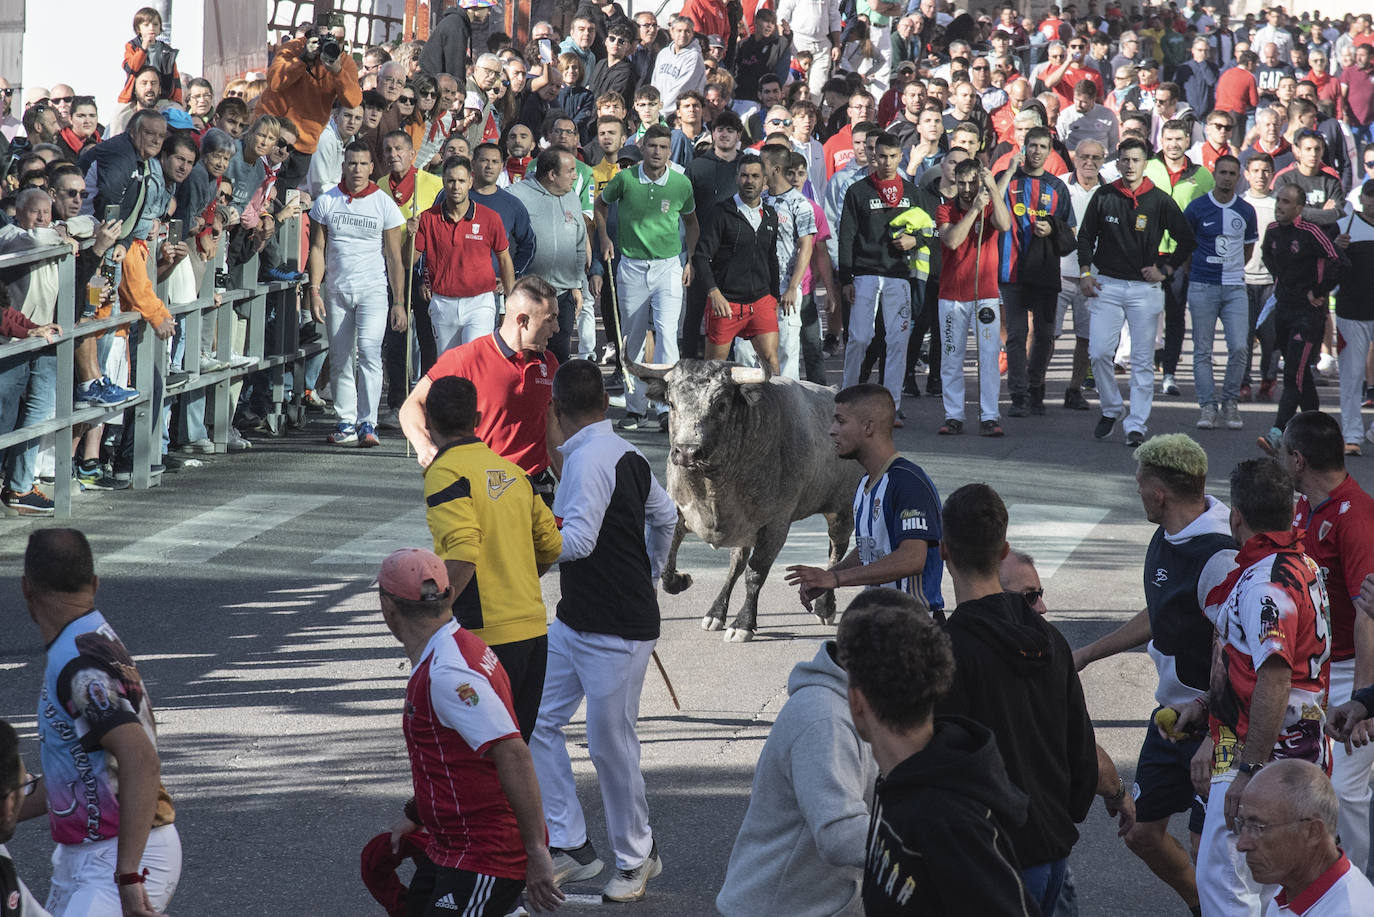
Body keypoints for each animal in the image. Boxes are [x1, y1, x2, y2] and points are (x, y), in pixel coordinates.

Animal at [629, 362, 862, 643]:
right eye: (671, 403)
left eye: (721, 404)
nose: (686, 451)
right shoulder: (679, 510)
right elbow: (667, 565)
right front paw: (682, 580)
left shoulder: (776, 525)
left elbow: (756, 573)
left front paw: (743, 623)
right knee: (736, 563)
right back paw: (715, 613)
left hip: (841, 510)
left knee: (836, 551)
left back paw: (825, 607)